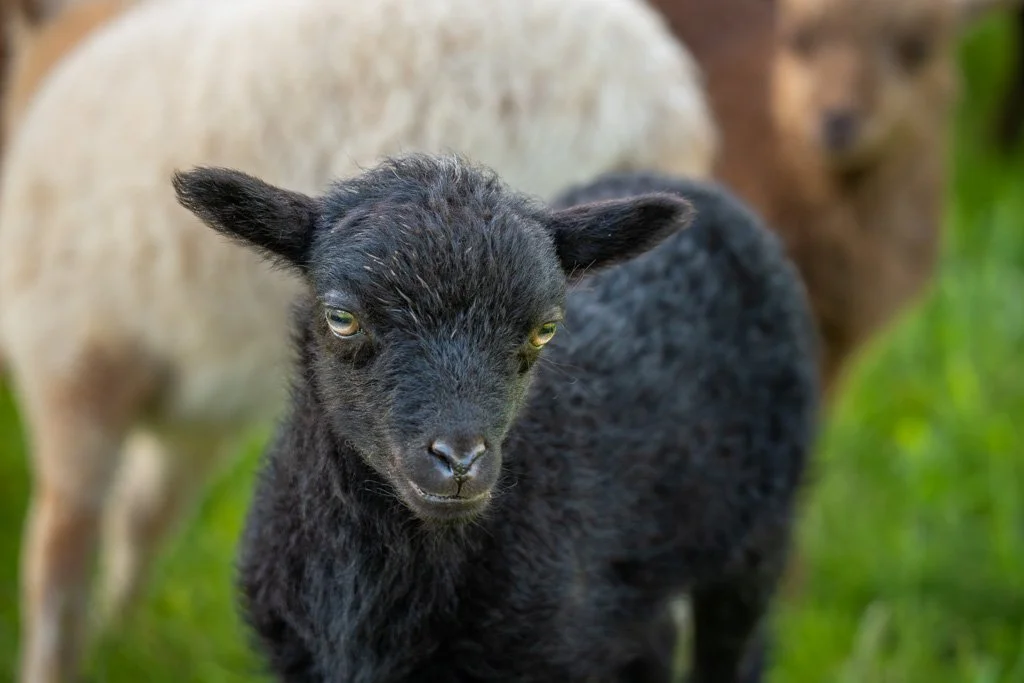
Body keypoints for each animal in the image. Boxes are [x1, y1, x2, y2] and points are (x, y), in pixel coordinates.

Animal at [0, 0, 717, 680]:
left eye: (544, 327)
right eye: (341, 318)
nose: (458, 460)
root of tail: (658, 98)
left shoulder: (70, 348)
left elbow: (58, 556)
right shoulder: (202, 406)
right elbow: (146, 514)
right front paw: (124, 631)